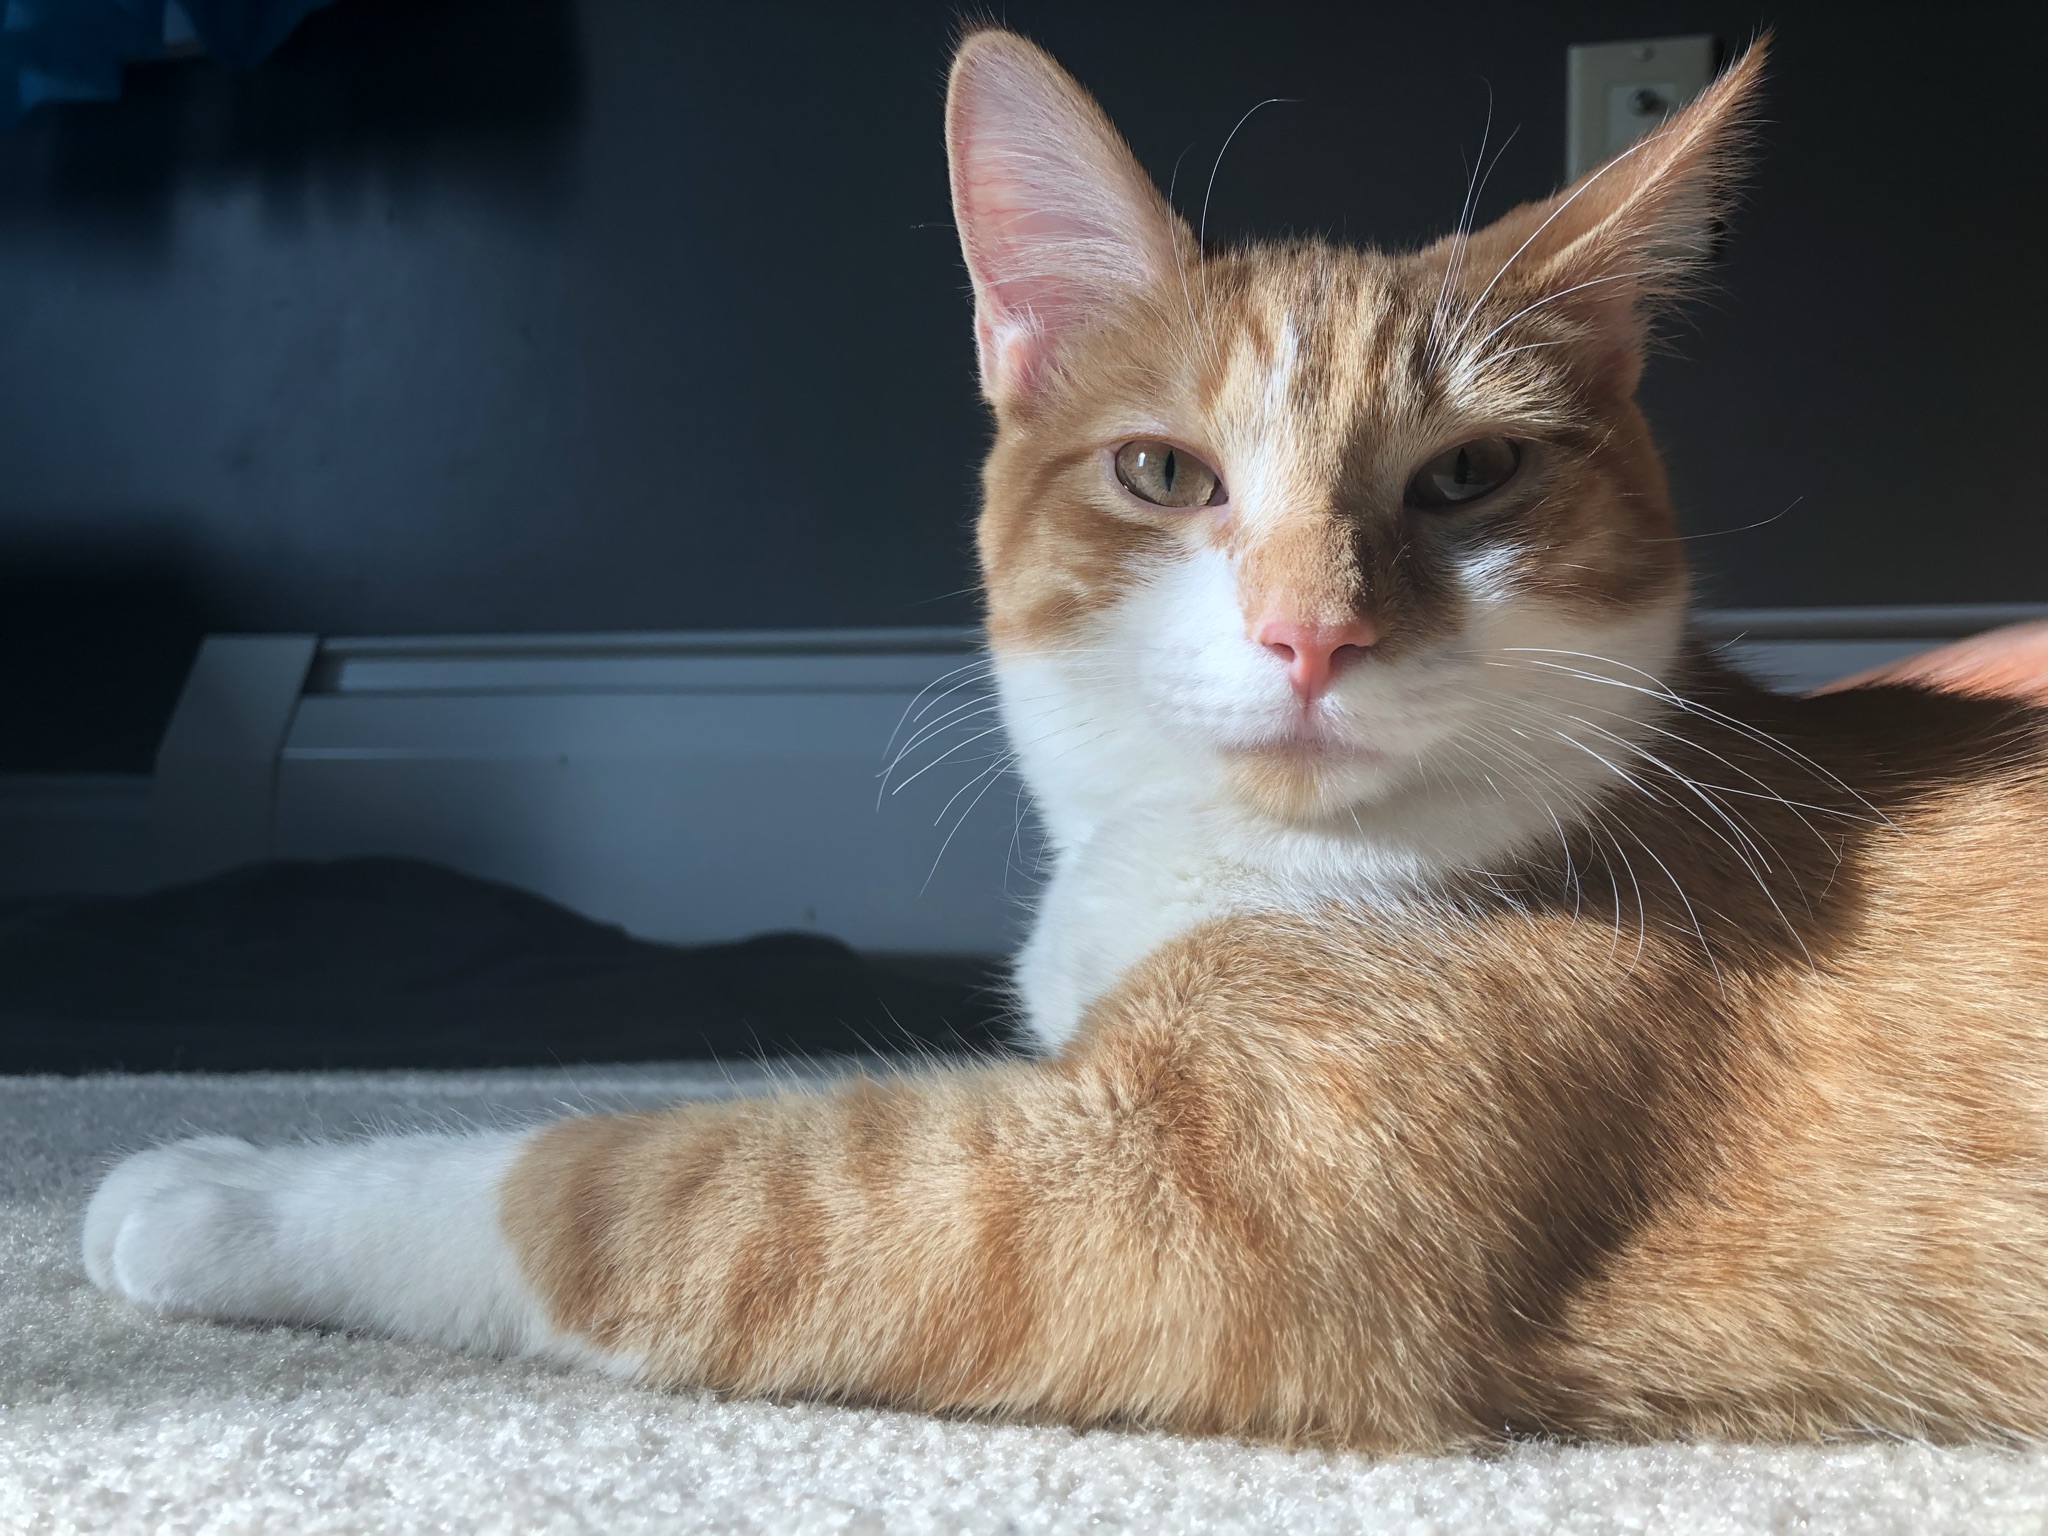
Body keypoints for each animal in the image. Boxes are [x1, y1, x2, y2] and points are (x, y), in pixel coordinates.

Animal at [88, 33, 2048, 1458]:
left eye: (1472, 476)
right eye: (1165, 474)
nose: (1312, 630)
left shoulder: (1184, 1219)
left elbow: (652, 1181)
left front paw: (228, 1193)